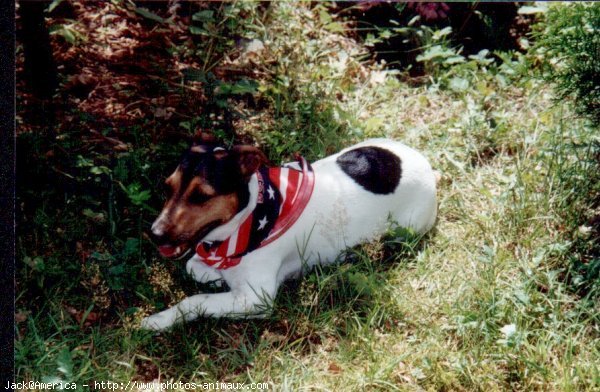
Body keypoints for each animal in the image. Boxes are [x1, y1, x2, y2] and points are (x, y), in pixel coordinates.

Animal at [143, 139, 438, 330]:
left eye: (201, 196)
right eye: (167, 188)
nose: (155, 234)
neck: (250, 217)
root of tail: (428, 167)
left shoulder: (256, 300)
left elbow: (196, 300)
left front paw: (159, 320)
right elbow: (194, 268)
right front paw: (217, 277)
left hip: (404, 230)